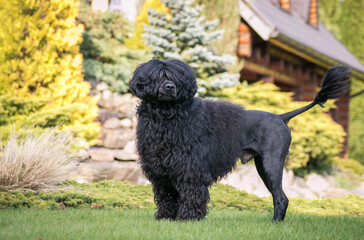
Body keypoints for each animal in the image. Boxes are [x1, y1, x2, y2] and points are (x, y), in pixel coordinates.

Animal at [129, 59, 352, 222]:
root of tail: (281, 117)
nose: (170, 87)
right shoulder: (161, 171)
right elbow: (166, 197)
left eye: (176, 78)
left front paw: (189, 219)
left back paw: (275, 224)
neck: (167, 116)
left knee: (281, 197)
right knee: (280, 197)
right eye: (159, 76)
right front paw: (165, 218)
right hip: (263, 166)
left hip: (272, 163)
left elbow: (192, 194)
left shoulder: (191, 169)